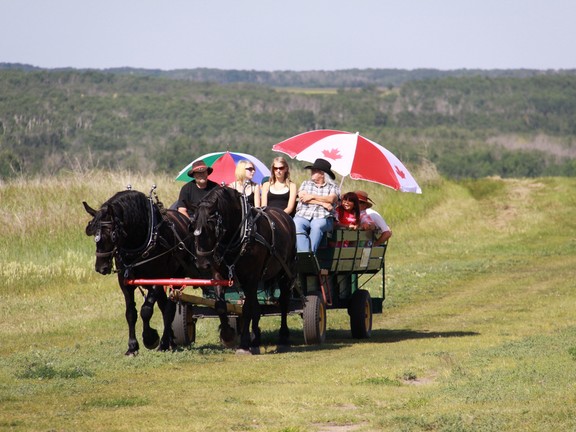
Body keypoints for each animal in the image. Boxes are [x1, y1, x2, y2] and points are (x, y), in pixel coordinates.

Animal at [82, 188, 196, 354]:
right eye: (93, 234)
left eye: (112, 234)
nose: (100, 267)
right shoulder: (125, 281)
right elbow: (131, 313)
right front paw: (132, 346)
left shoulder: (157, 279)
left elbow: (146, 310)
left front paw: (150, 338)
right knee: (164, 306)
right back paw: (170, 340)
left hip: (177, 276)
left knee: (169, 308)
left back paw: (164, 342)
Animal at [191, 187, 296, 352]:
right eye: (193, 225)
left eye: (211, 225)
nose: (202, 263)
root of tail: (285, 216)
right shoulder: (219, 275)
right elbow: (220, 306)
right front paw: (228, 336)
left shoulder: (251, 277)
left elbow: (247, 309)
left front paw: (244, 343)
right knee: (256, 307)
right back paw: (256, 338)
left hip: (285, 271)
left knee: (284, 301)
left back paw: (284, 336)